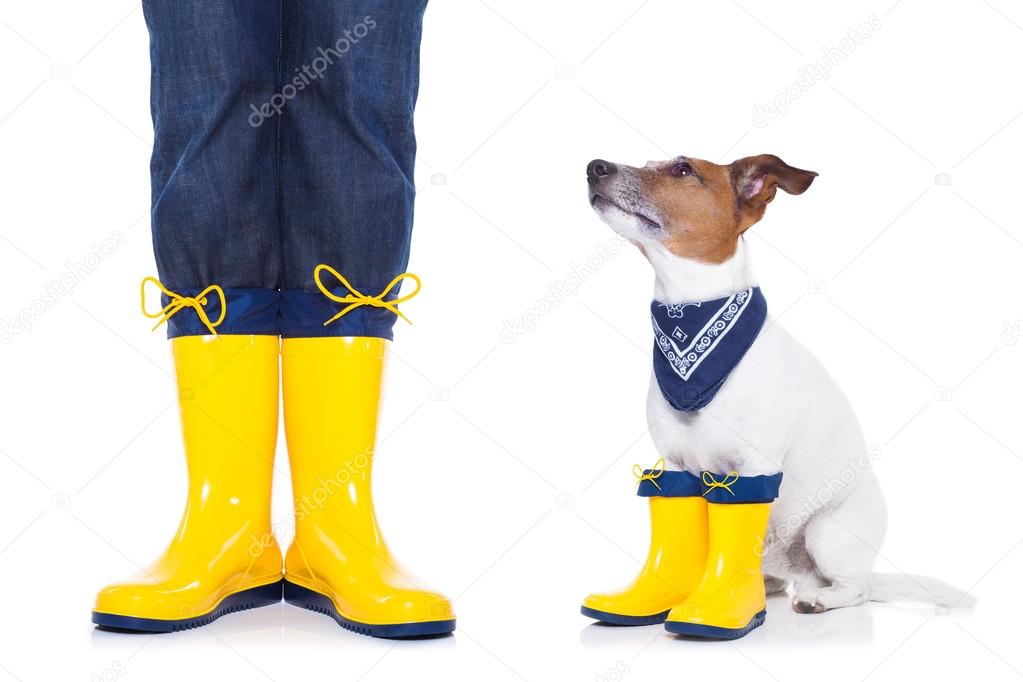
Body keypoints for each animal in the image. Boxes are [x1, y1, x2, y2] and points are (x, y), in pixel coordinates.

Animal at [589, 153, 969, 613]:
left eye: (682, 169)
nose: (594, 166)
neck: (693, 317)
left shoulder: (755, 467)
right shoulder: (675, 467)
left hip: (828, 531)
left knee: (855, 589)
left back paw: (818, 598)